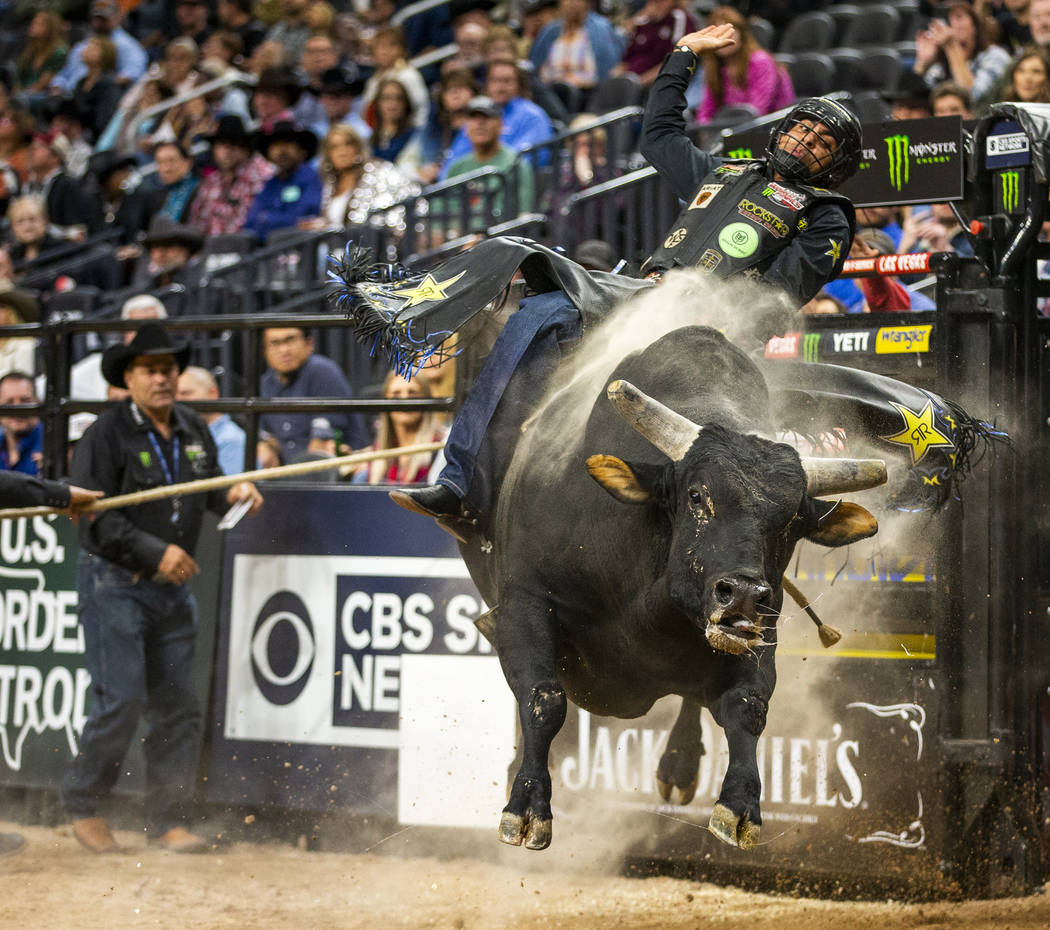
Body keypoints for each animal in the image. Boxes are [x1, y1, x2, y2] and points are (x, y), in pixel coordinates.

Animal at [459, 325, 886, 852]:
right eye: (697, 495)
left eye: (790, 522)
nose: (743, 594)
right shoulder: (524, 604)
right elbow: (544, 699)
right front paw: (526, 807)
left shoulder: (758, 634)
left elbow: (748, 707)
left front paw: (739, 806)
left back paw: (679, 765)